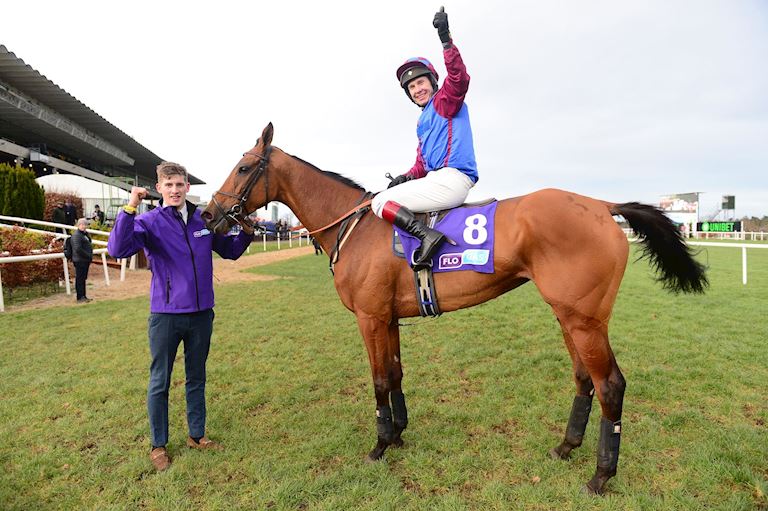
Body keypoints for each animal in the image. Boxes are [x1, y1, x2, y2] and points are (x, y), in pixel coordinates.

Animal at [202, 124, 708, 496]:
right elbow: (396, 373)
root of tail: (603, 206)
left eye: (243, 167)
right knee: (585, 379)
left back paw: (601, 475)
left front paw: (379, 446)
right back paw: (566, 447)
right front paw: (399, 433)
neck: (355, 227)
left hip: (585, 320)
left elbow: (379, 379)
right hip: (569, 315)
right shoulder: (388, 317)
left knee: (610, 385)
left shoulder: (369, 317)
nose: (208, 215)